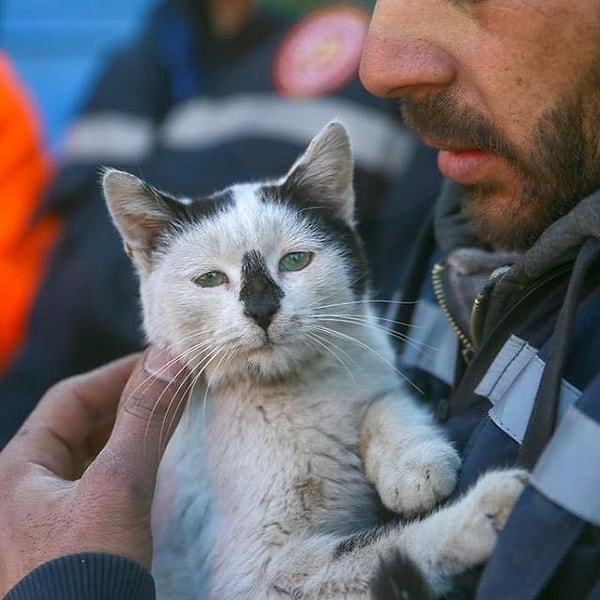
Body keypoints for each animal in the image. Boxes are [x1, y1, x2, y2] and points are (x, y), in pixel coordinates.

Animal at [102, 119, 524, 596]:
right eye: (209, 279)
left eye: (296, 260)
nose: (262, 308)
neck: (287, 396)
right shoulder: (259, 577)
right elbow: (378, 550)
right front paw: (483, 510)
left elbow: (383, 402)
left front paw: (413, 464)